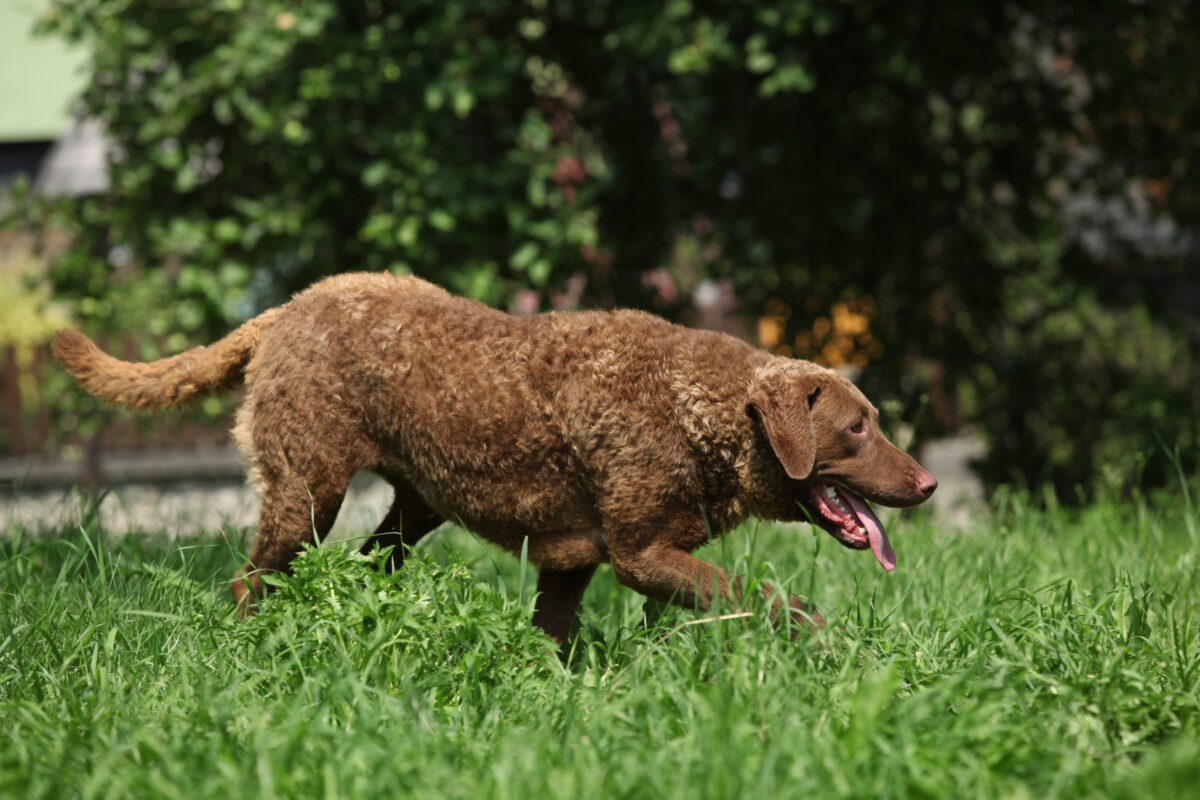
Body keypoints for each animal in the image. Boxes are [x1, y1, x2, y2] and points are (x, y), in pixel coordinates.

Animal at [54, 275, 936, 642]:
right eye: (857, 429)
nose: (928, 483)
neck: (698, 413)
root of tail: (284, 310)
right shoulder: (641, 552)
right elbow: (766, 595)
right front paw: (825, 641)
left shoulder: (574, 560)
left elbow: (552, 637)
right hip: (308, 487)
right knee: (249, 582)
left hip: (414, 506)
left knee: (370, 564)